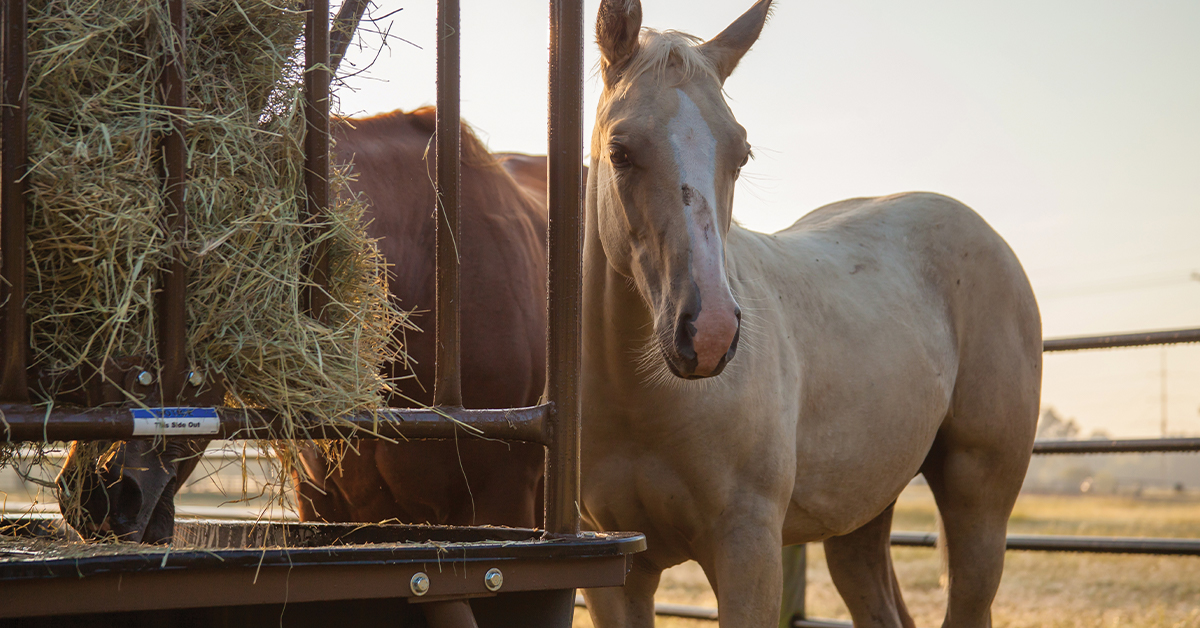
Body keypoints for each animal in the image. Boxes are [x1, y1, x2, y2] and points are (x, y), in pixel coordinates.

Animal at [580, 1, 1041, 628]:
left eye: (741, 154)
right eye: (621, 151)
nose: (711, 332)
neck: (640, 403)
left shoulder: (748, 552)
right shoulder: (615, 576)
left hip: (979, 505)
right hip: (861, 518)